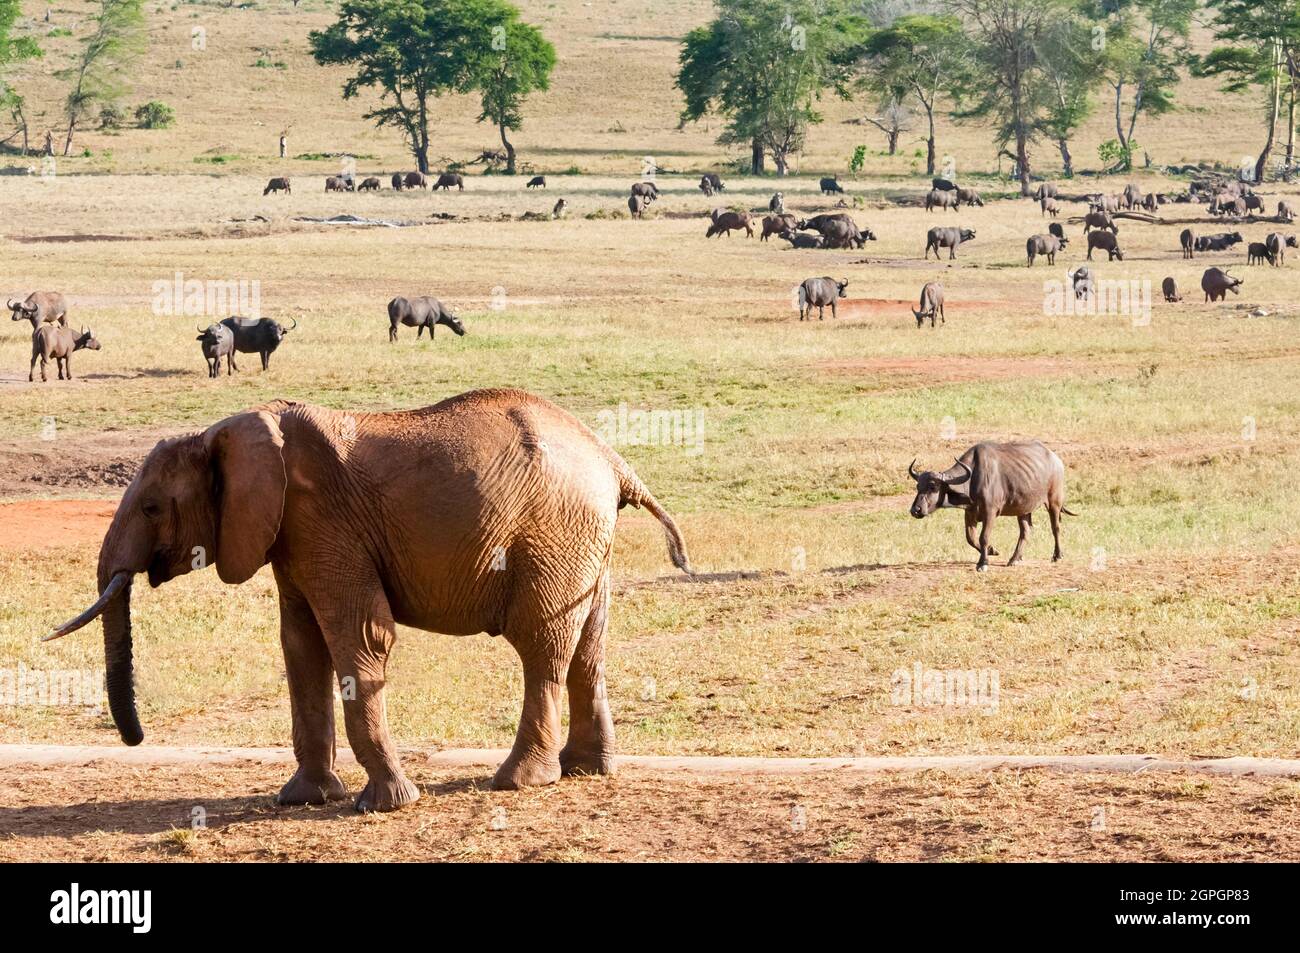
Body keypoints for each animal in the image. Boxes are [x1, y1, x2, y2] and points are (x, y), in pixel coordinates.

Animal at [43, 387, 691, 811]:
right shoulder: (292, 535)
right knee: (587, 649)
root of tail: (613, 459)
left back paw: (520, 782)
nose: (136, 739)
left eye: (153, 507)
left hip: (552, 533)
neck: (222, 435)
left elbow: (360, 637)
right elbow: (301, 647)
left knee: (540, 647)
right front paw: (302, 800)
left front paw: (387, 803)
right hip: (583, 541)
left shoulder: (324, 523)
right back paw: (588, 771)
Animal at [904, 439, 1076, 572]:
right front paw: (992, 550)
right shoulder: (970, 513)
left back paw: (1057, 555)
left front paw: (983, 563)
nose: (915, 510)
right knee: (1025, 531)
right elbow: (971, 538)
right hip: (1023, 509)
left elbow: (983, 537)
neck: (973, 479)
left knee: (1056, 527)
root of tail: (1055, 459)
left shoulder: (990, 512)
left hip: (1054, 502)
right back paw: (1015, 558)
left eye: (933, 486)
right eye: (918, 486)